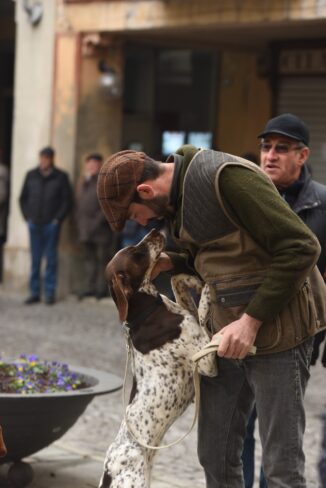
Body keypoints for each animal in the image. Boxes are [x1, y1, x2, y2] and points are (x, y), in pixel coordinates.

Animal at [99, 230, 216, 488]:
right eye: (136, 253)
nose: (154, 231)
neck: (147, 311)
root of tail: (109, 472)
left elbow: (178, 284)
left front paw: (193, 280)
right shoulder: (206, 360)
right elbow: (204, 315)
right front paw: (208, 290)